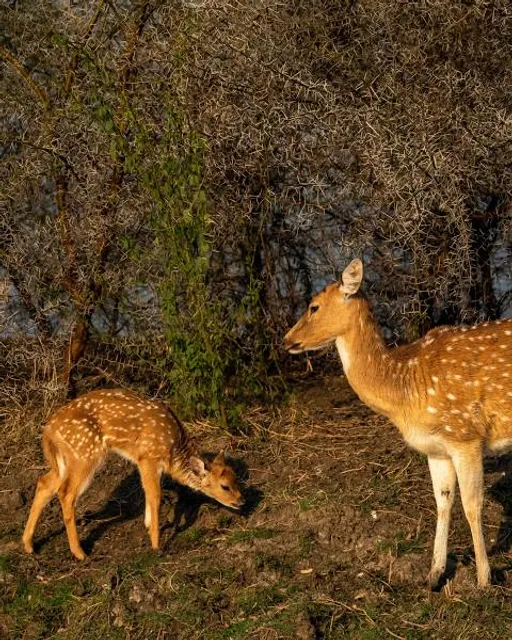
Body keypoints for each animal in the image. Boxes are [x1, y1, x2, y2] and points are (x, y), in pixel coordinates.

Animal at [22, 389, 244, 560]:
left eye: (236, 479)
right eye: (225, 486)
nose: (242, 501)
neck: (173, 451)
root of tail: (48, 430)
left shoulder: (142, 460)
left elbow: (147, 491)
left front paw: (147, 525)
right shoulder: (148, 456)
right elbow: (155, 495)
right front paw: (156, 544)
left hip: (65, 459)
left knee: (44, 482)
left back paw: (29, 545)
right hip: (84, 453)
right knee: (66, 493)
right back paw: (80, 553)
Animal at [284, 258, 512, 589]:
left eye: (313, 306)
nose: (286, 340)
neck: (405, 390)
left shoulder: (465, 434)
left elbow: (472, 505)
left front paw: (483, 580)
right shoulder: (436, 449)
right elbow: (443, 502)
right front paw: (434, 575)